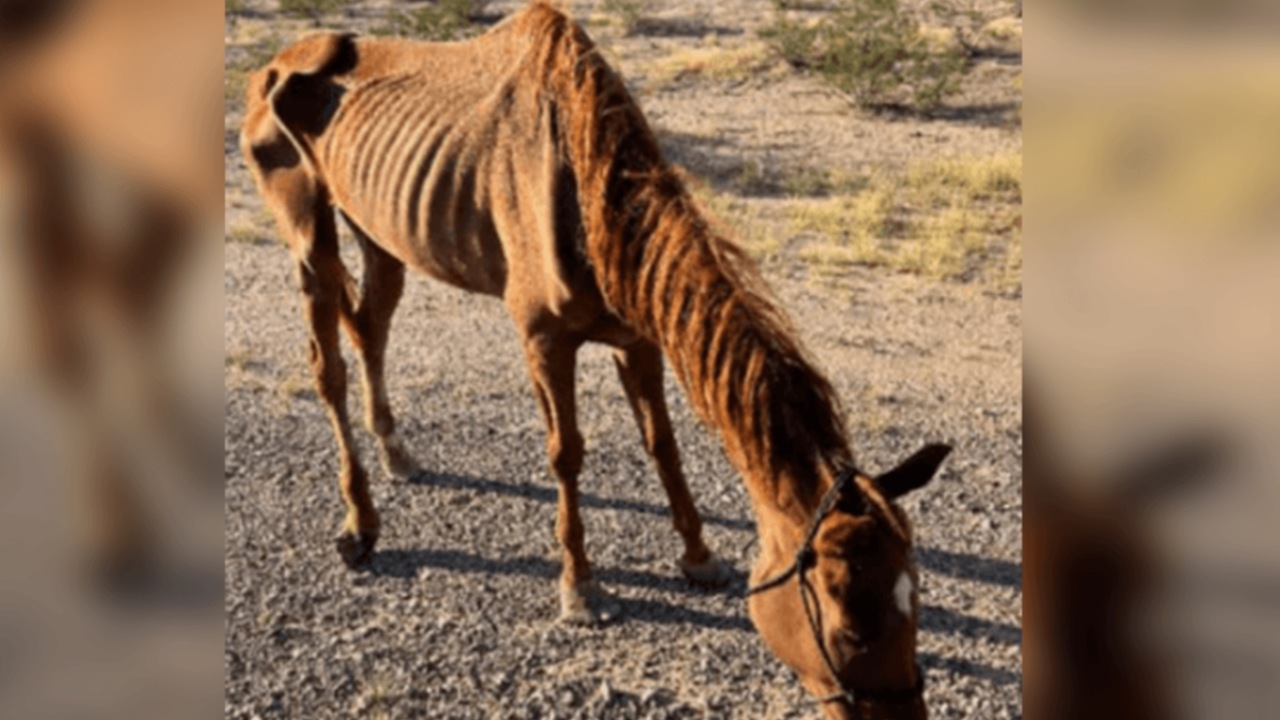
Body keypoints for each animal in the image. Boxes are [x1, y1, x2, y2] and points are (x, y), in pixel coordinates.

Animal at [240, 4, 952, 712]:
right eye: (846, 625)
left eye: (916, 601)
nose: (904, 713)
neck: (586, 195)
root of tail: (272, 66)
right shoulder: (544, 341)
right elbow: (568, 454)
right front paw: (580, 587)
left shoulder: (638, 340)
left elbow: (662, 443)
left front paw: (699, 557)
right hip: (309, 238)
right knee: (328, 369)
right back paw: (360, 523)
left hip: (381, 237)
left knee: (371, 333)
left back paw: (397, 453)